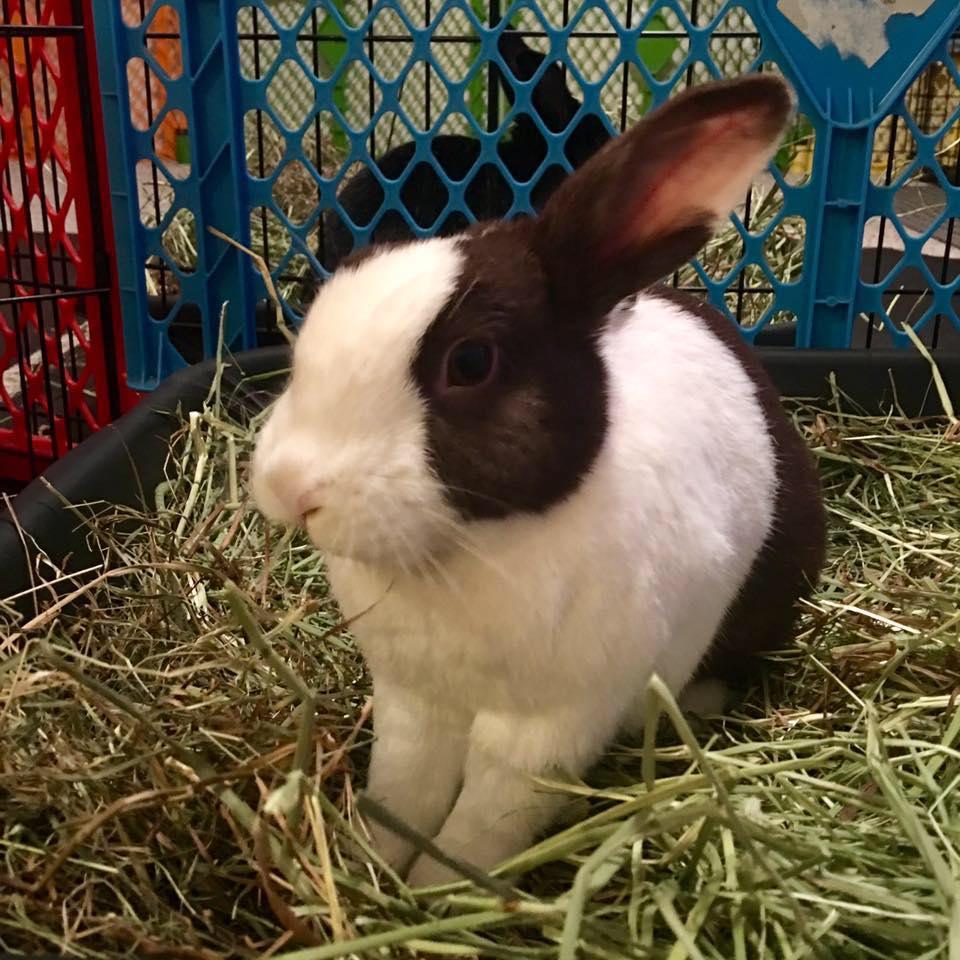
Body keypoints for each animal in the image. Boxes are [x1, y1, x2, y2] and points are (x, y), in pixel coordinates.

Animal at [251, 73, 826, 886]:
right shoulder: (413, 702)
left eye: (470, 362)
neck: (470, 549)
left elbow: (488, 819)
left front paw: (439, 892)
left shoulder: (547, 730)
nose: (291, 488)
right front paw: (375, 868)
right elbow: (403, 788)